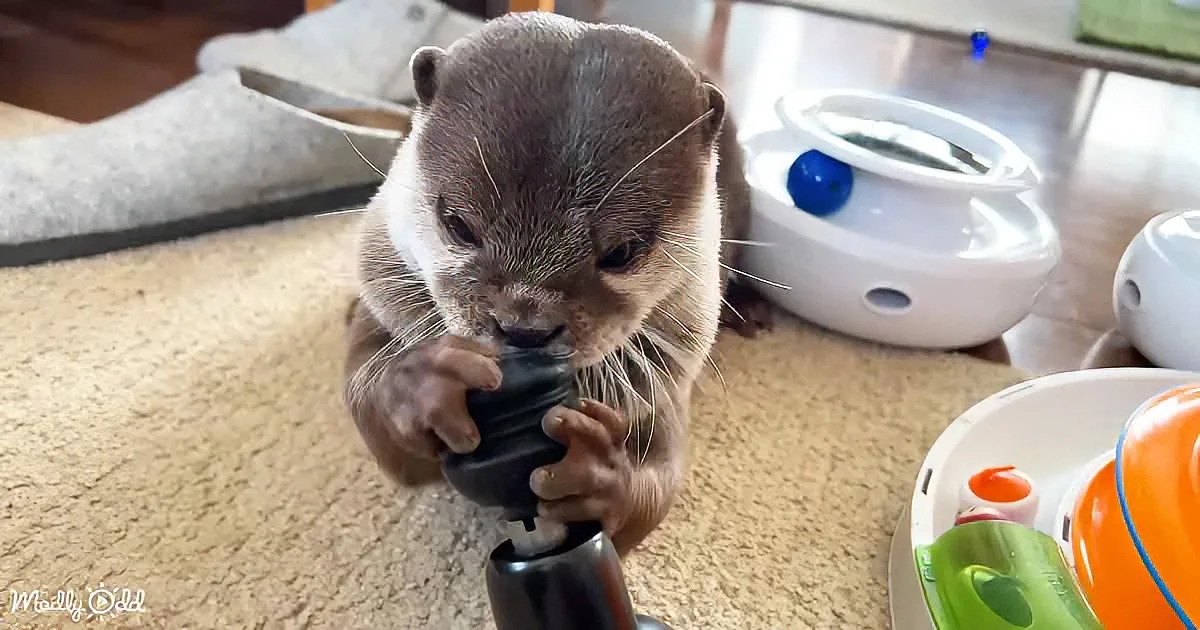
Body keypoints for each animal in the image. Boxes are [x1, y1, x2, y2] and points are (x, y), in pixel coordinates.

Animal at [342, 11, 770, 556]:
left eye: (623, 251)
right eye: (458, 224)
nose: (524, 326)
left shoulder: (664, 385)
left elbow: (656, 489)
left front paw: (598, 474)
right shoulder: (385, 294)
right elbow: (373, 412)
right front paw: (426, 382)